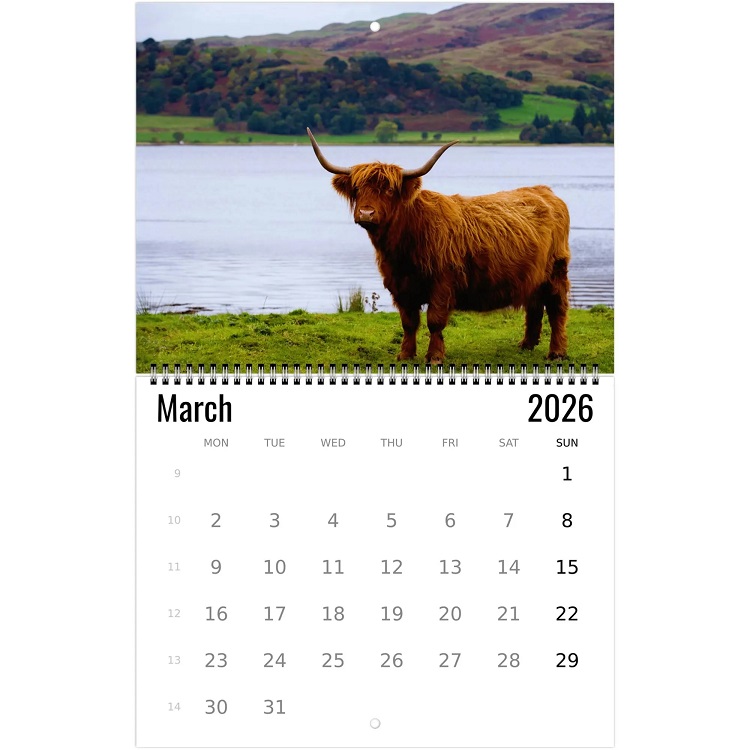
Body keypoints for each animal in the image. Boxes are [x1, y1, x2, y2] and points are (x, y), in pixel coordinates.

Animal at [307, 128, 571, 363]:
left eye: (390, 190)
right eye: (357, 189)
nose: (366, 213)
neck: (403, 247)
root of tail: (544, 191)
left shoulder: (443, 283)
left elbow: (434, 321)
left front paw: (434, 356)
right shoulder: (399, 285)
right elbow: (409, 322)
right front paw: (405, 354)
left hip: (556, 271)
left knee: (557, 308)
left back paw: (556, 352)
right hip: (533, 275)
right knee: (534, 306)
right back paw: (526, 345)